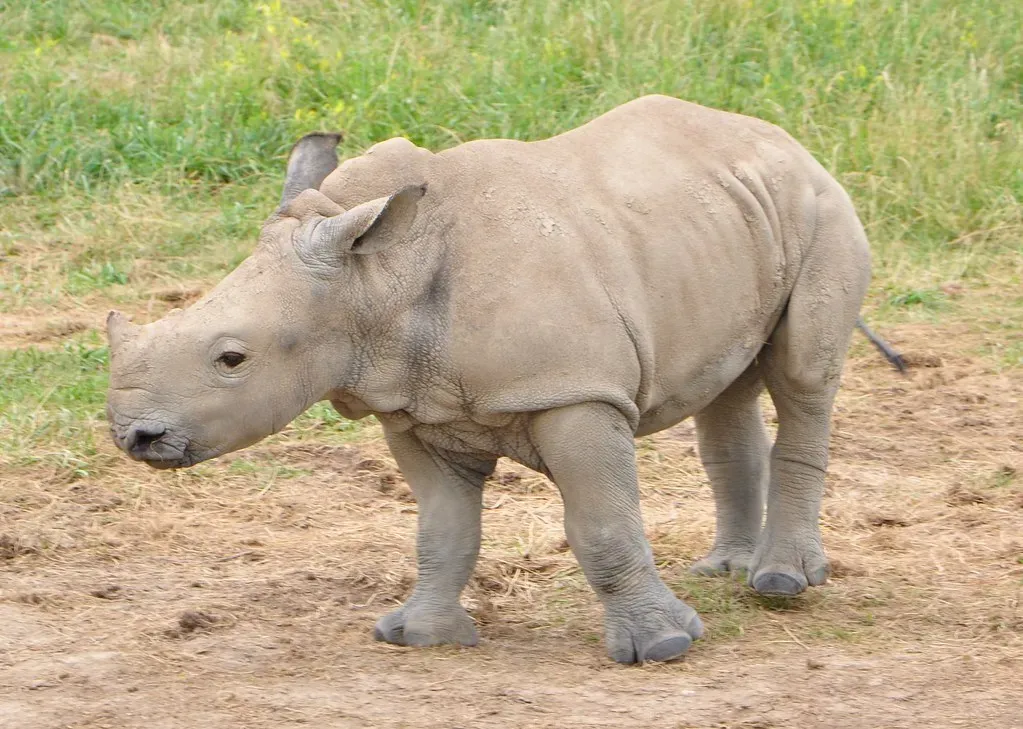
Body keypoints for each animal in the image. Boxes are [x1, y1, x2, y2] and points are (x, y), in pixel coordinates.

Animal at [107, 95, 881, 664]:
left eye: (231, 359)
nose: (132, 436)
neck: (376, 277)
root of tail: (782, 138)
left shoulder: (573, 391)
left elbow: (602, 525)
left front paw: (661, 647)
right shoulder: (416, 408)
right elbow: (442, 529)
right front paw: (419, 637)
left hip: (822, 208)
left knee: (803, 376)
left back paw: (780, 583)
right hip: (723, 221)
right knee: (725, 386)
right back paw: (723, 570)